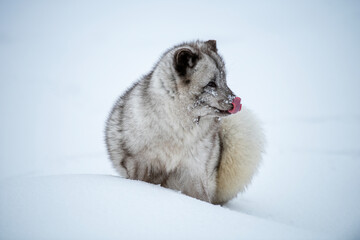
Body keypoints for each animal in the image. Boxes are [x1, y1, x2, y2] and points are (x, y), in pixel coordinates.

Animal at [104, 39, 264, 204]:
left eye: (224, 80)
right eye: (211, 84)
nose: (236, 102)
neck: (180, 128)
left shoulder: (194, 170)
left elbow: (202, 198)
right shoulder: (140, 163)